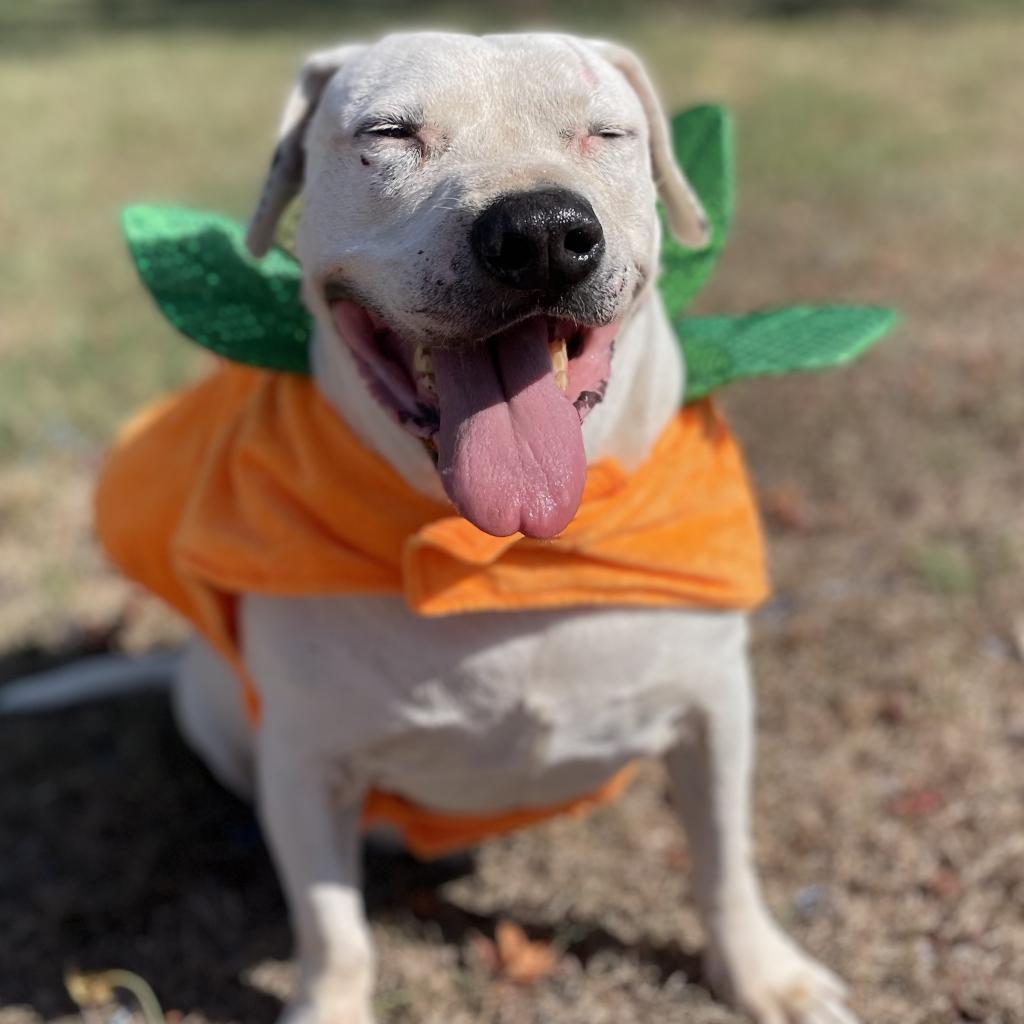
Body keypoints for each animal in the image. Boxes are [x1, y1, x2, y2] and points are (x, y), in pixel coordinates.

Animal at [117, 32, 856, 1024]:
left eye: (606, 132)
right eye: (388, 132)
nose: (541, 231)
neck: (502, 558)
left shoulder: (715, 710)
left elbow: (723, 860)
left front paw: (763, 974)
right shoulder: (306, 761)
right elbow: (333, 931)